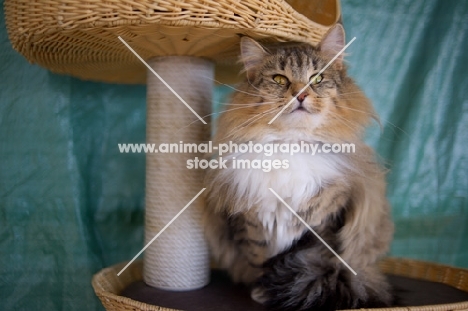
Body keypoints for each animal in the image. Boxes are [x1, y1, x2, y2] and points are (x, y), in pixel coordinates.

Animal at [203, 25, 394, 311]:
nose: (301, 95)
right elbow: (261, 262)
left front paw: (280, 290)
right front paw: (262, 291)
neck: (291, 145)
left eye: (317, 78)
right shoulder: (251, 223)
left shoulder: (325, 221)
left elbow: (300, 259)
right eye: (280, 80)